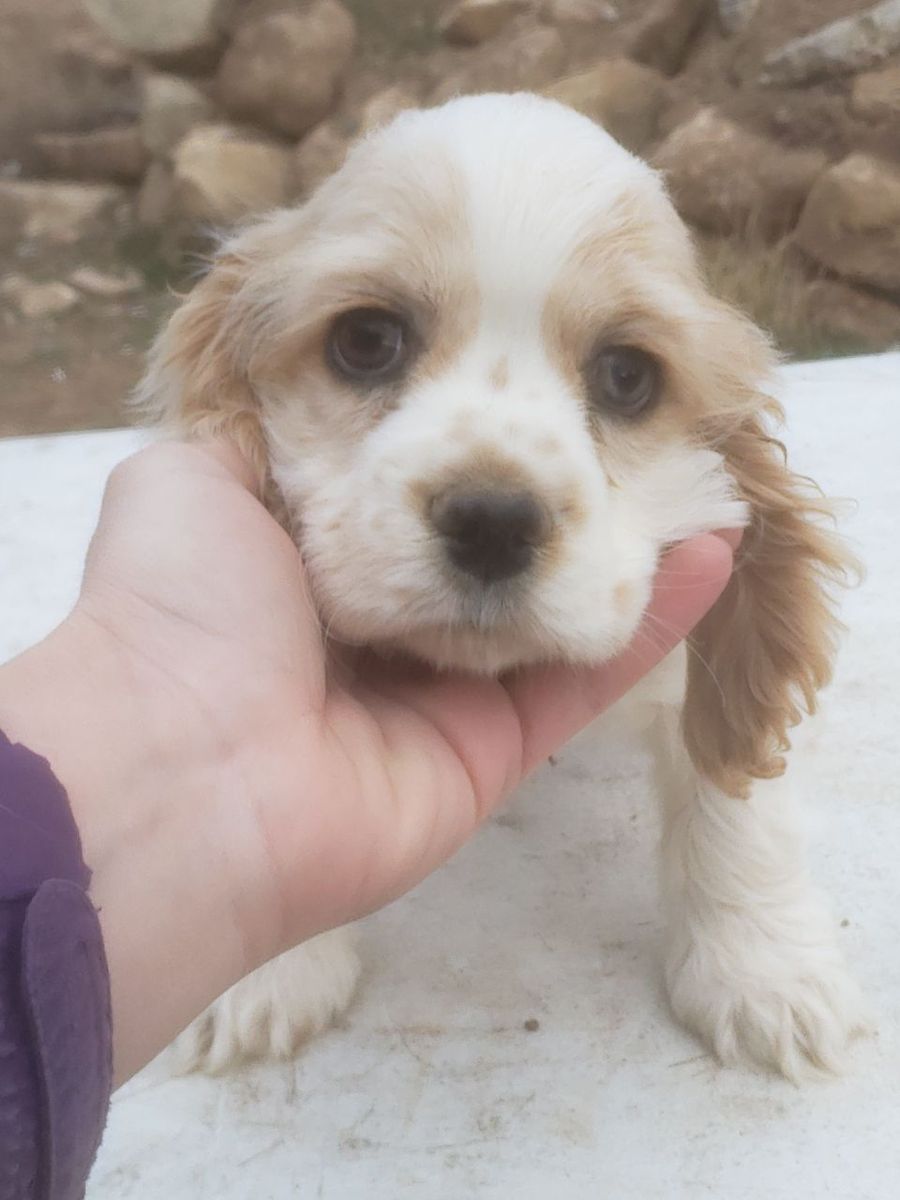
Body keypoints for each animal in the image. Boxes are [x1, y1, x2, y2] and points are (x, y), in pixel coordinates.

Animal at [138, 93, 868, 1080]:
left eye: (627, 375)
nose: (491, 520)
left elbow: (734, 798)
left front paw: (766, 975)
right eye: (365, 341)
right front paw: (266, 974)